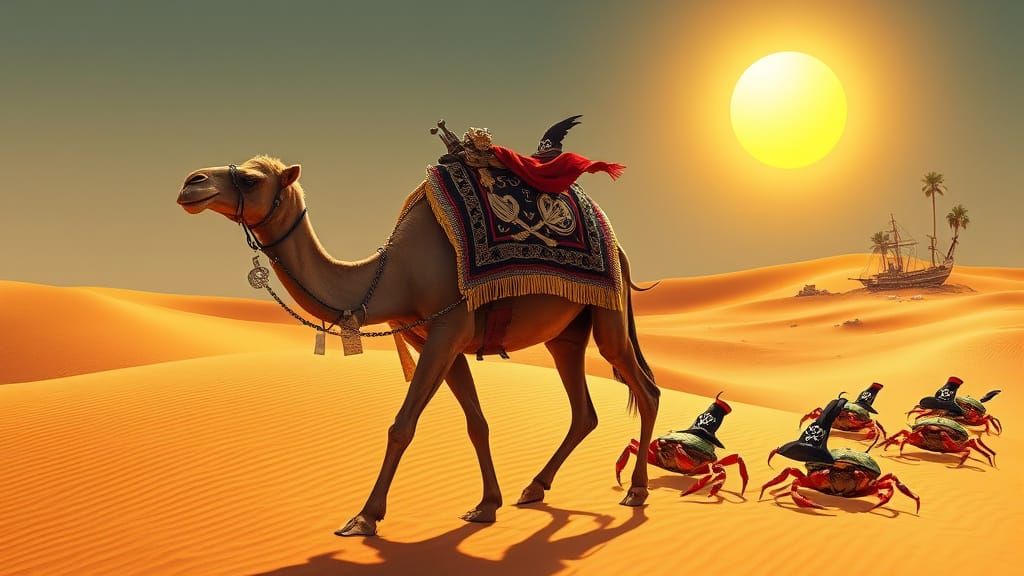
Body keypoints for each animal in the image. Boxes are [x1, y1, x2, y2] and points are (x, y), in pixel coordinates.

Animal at [176, 155, 660, 537]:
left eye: (251, 179)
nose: (191, 182)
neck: (394, 274)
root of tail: (618, 247)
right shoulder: (441, 339)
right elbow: (477, 424)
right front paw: (486, 505)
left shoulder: (446, 330)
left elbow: (402, 425)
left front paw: (364, 517)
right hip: (567, 333)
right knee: (584, 410)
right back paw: (533, 487)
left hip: (608, 315)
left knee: (646, 389)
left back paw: (636, 491)